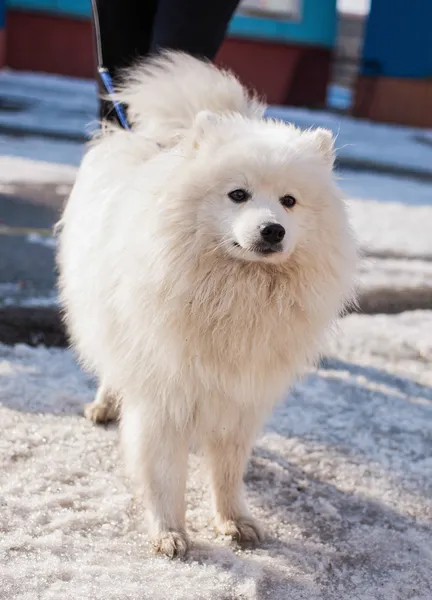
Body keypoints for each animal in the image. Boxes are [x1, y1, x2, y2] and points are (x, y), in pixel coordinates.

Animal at [55, 50, 356, 556]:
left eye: (289, 201)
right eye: (238, 194)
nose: (272, 230)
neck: (235, 292)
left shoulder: (241, 397)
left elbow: (228, 470)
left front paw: (234, 521)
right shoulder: (164, 393)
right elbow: (163, 473)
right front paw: (169, 532)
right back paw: (105, 404)